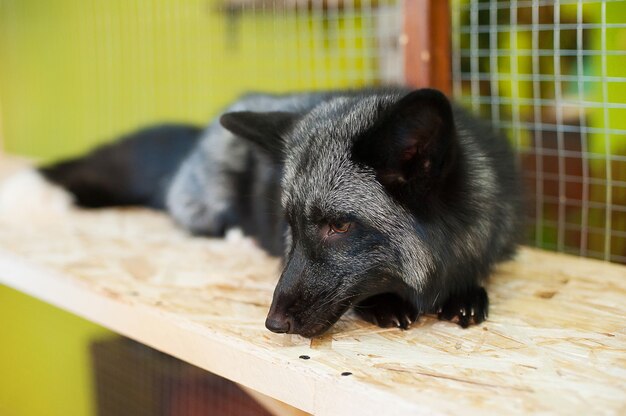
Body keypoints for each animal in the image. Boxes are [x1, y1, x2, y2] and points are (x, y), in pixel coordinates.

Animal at [39, 88, 520, 338]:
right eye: (290, 226)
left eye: (338, 226)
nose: (272, 324)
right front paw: (385, 303)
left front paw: (464, 294)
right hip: (206, 207)